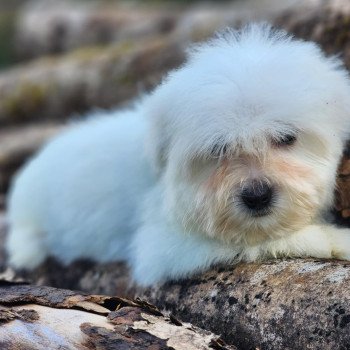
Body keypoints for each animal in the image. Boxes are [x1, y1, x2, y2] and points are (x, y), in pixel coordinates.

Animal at [5, 23, 350, 288]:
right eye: (218, 149)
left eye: (286, 138)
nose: (257, 196)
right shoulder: (166, 244)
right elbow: (258, 239)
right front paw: (334, 239)